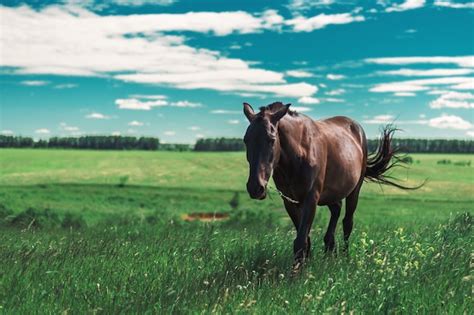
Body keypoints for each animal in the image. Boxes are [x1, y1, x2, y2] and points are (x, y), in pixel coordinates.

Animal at [244, 101, 414, 270]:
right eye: (246, 140)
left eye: (271, 139)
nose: (255, 187)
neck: (300, 153)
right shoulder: (289, 201)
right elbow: (305, 239)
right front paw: (306, 264)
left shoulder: (311, 198)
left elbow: (301, 241)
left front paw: (297, 273)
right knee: (336, 210)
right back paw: (330, 249)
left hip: (354, 191)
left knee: (347, 222)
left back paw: (345, 256)